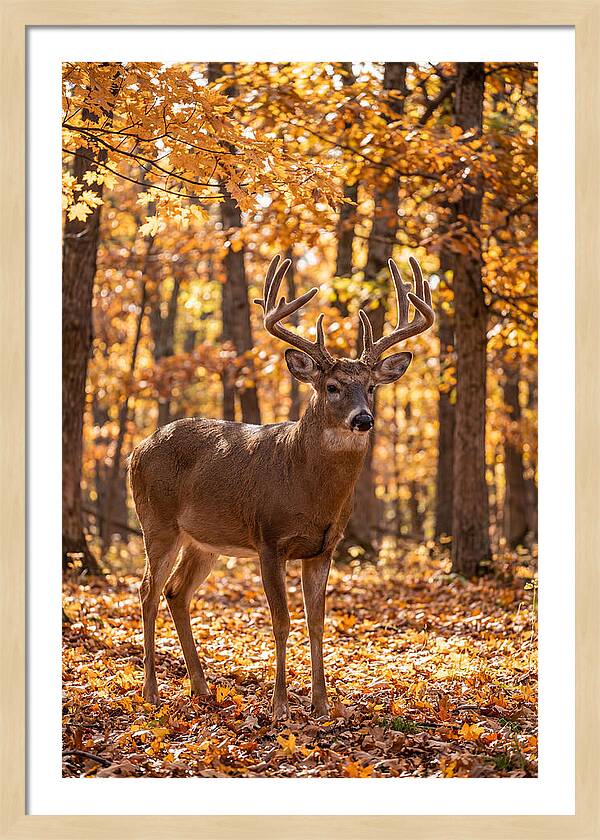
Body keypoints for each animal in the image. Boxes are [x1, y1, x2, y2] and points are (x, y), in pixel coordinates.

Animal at [129, 254, 434, 719]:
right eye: (332, 386)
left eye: (371, 387)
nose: (363, 419)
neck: (307, 488)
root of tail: (136, 450)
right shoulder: (269, 539)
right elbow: (281, 621)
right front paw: (279, 706)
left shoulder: (324, 547)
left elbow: (317, 622)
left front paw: (322, 704)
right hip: (157, 522)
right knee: (147, 590)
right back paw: (151, 692)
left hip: (204, 540)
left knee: (176, 592)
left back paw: (201, 687)